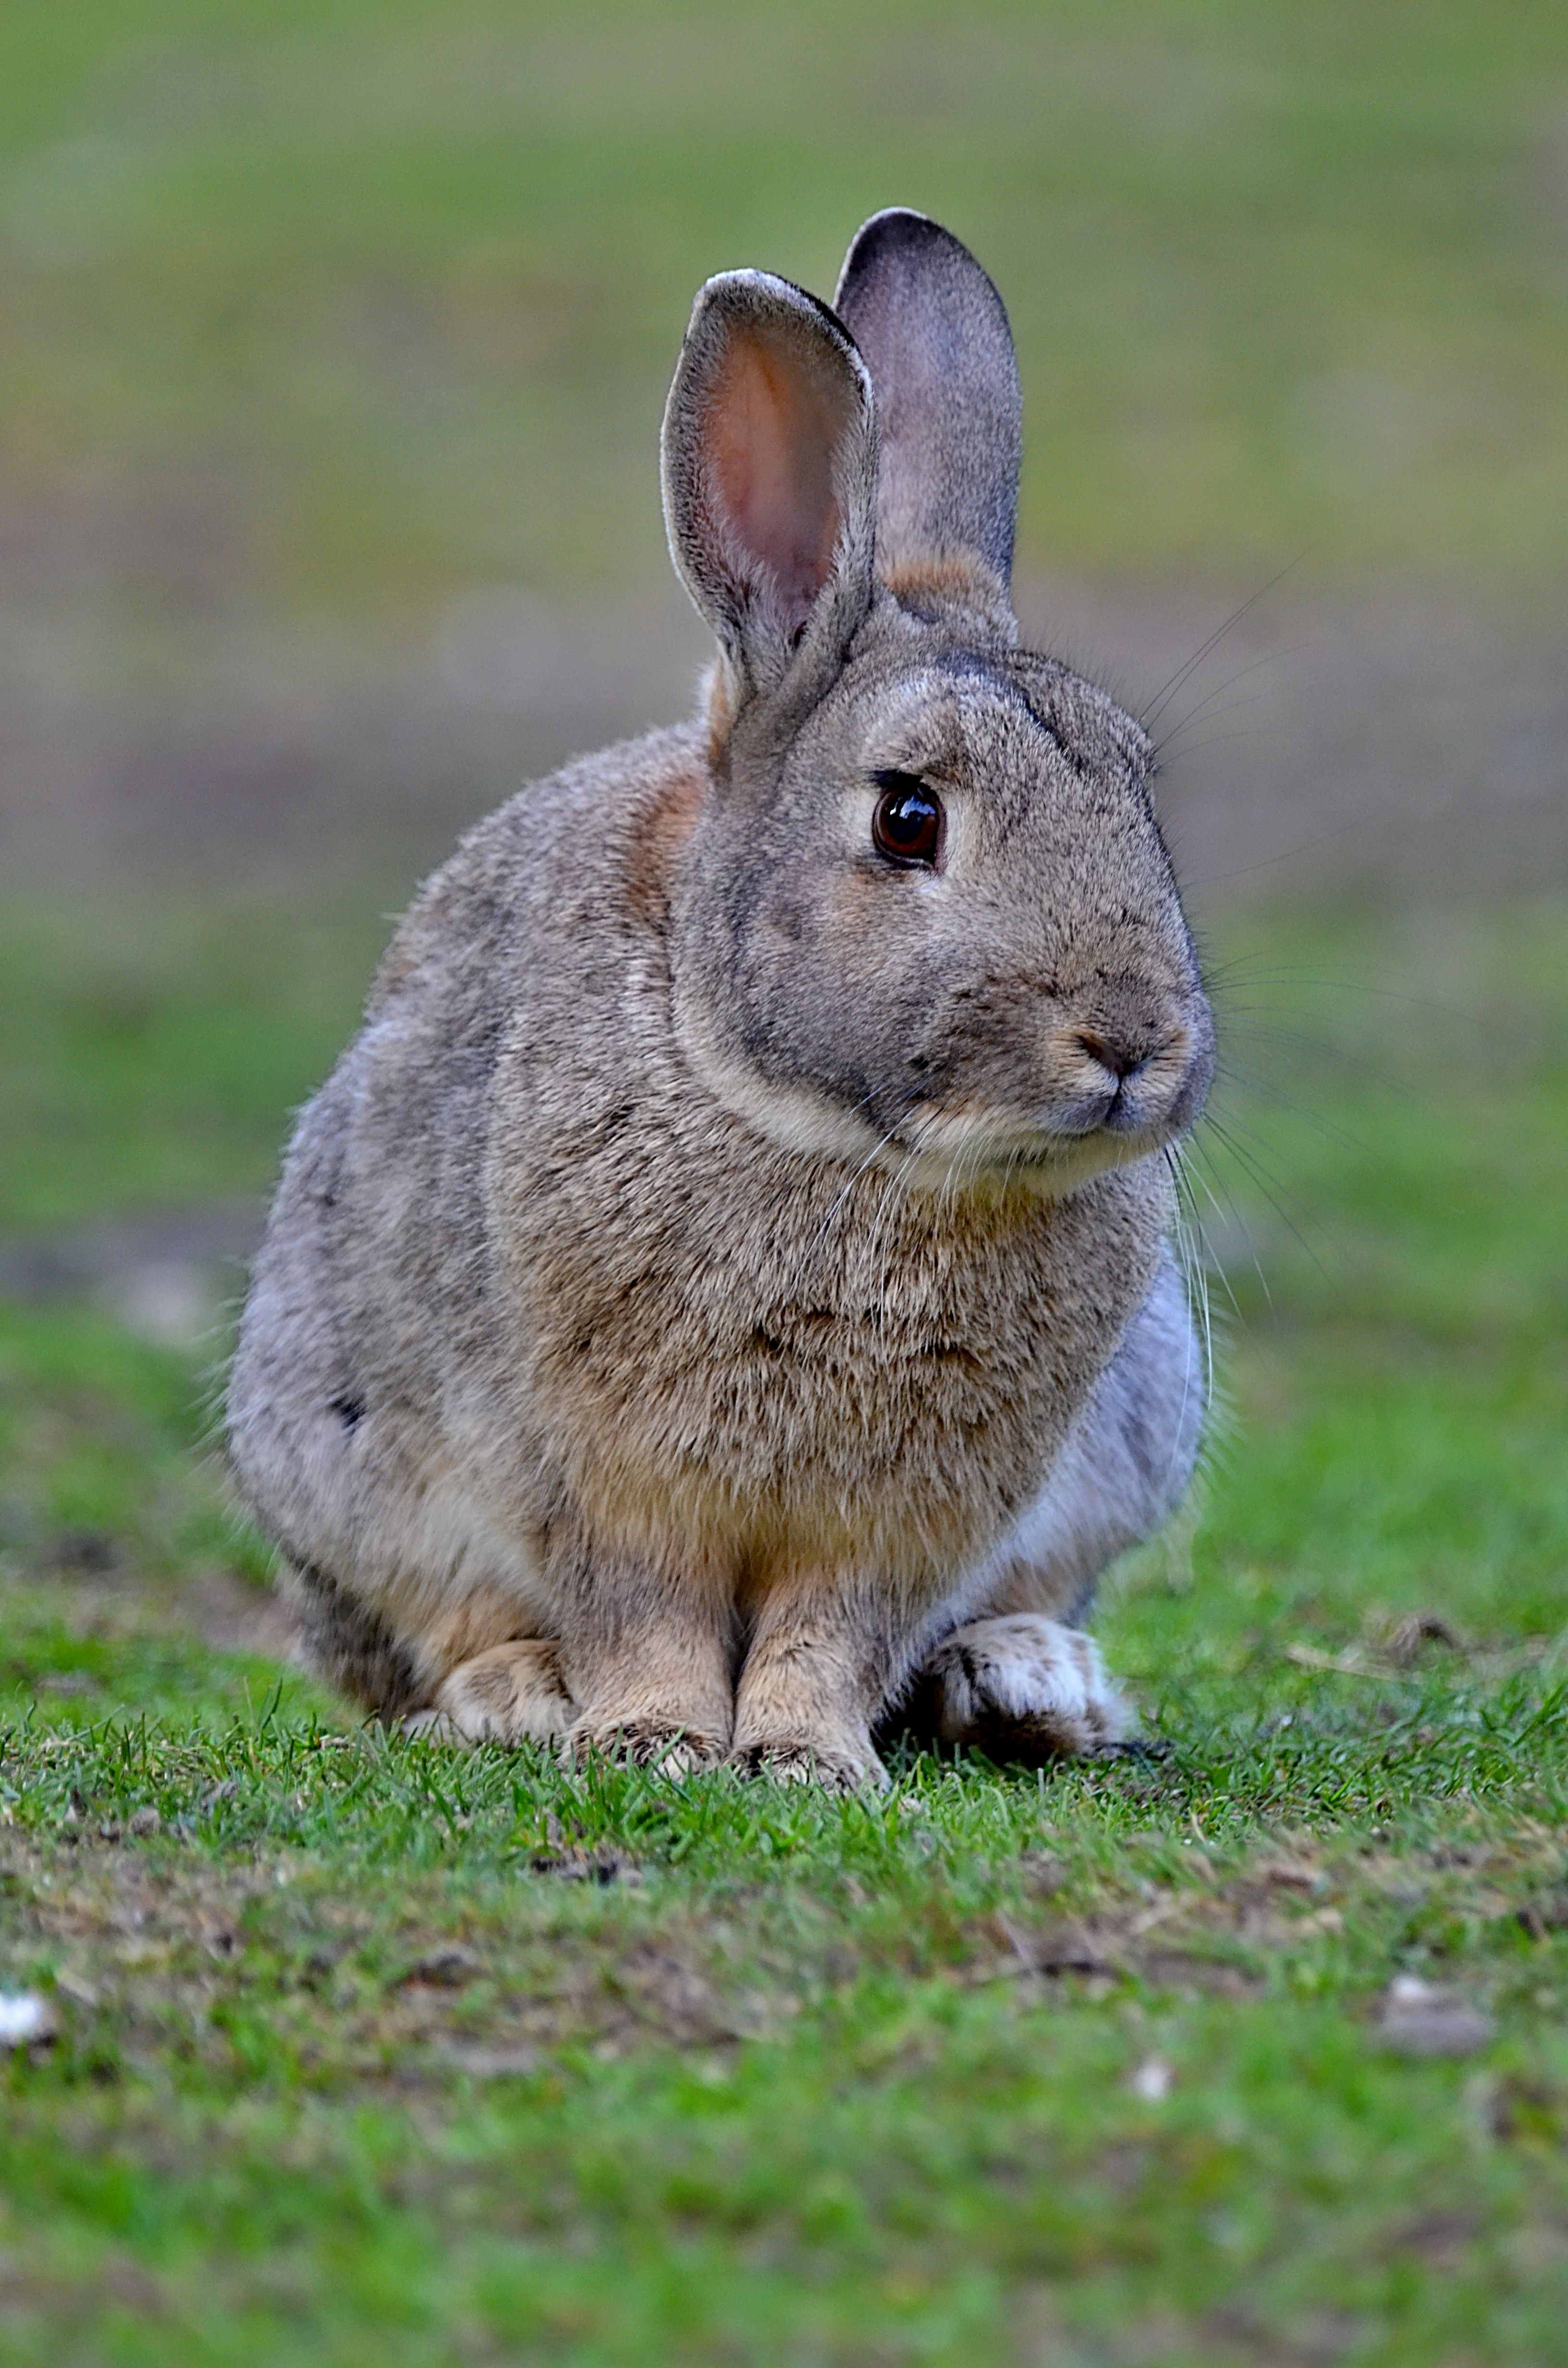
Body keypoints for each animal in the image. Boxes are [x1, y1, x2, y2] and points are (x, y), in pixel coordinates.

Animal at [226, 208, 1214, 1788]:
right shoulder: (594, 1476)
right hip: (328, 1436)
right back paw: (520, 1694)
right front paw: (649, 1741)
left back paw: (1022, 1682)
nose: (1129, 1042)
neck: (840, 1142)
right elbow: (641, 1605)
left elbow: (836, 1632)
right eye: (907, 819)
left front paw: (808, 1761)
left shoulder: (901, 1520)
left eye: (1137, 793)